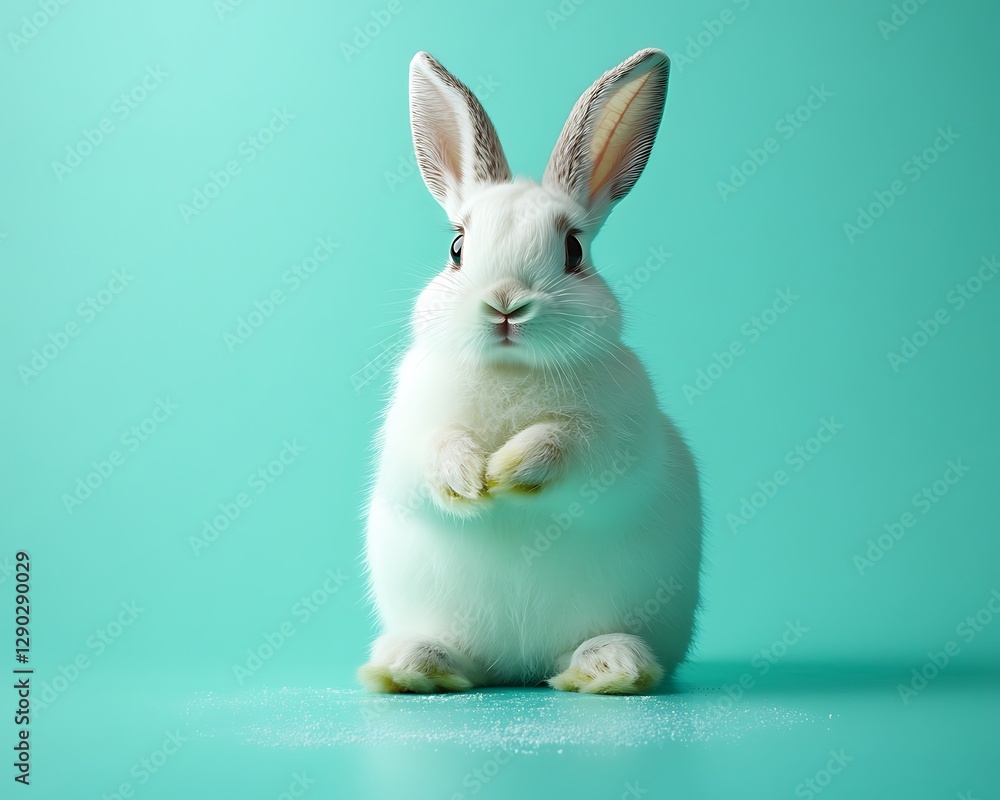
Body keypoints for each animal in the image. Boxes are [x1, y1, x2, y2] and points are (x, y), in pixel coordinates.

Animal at [358, 48, 702, 695]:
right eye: (456, 249)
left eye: (574, 251)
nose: (506, 304)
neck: (510, 369)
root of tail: (517, 668)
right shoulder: (411, 434)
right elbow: (433, 451)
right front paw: (472, 478)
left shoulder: (615, 440)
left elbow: (565, 445)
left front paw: (509, 469)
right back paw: (409, 667)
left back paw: (610, 669)